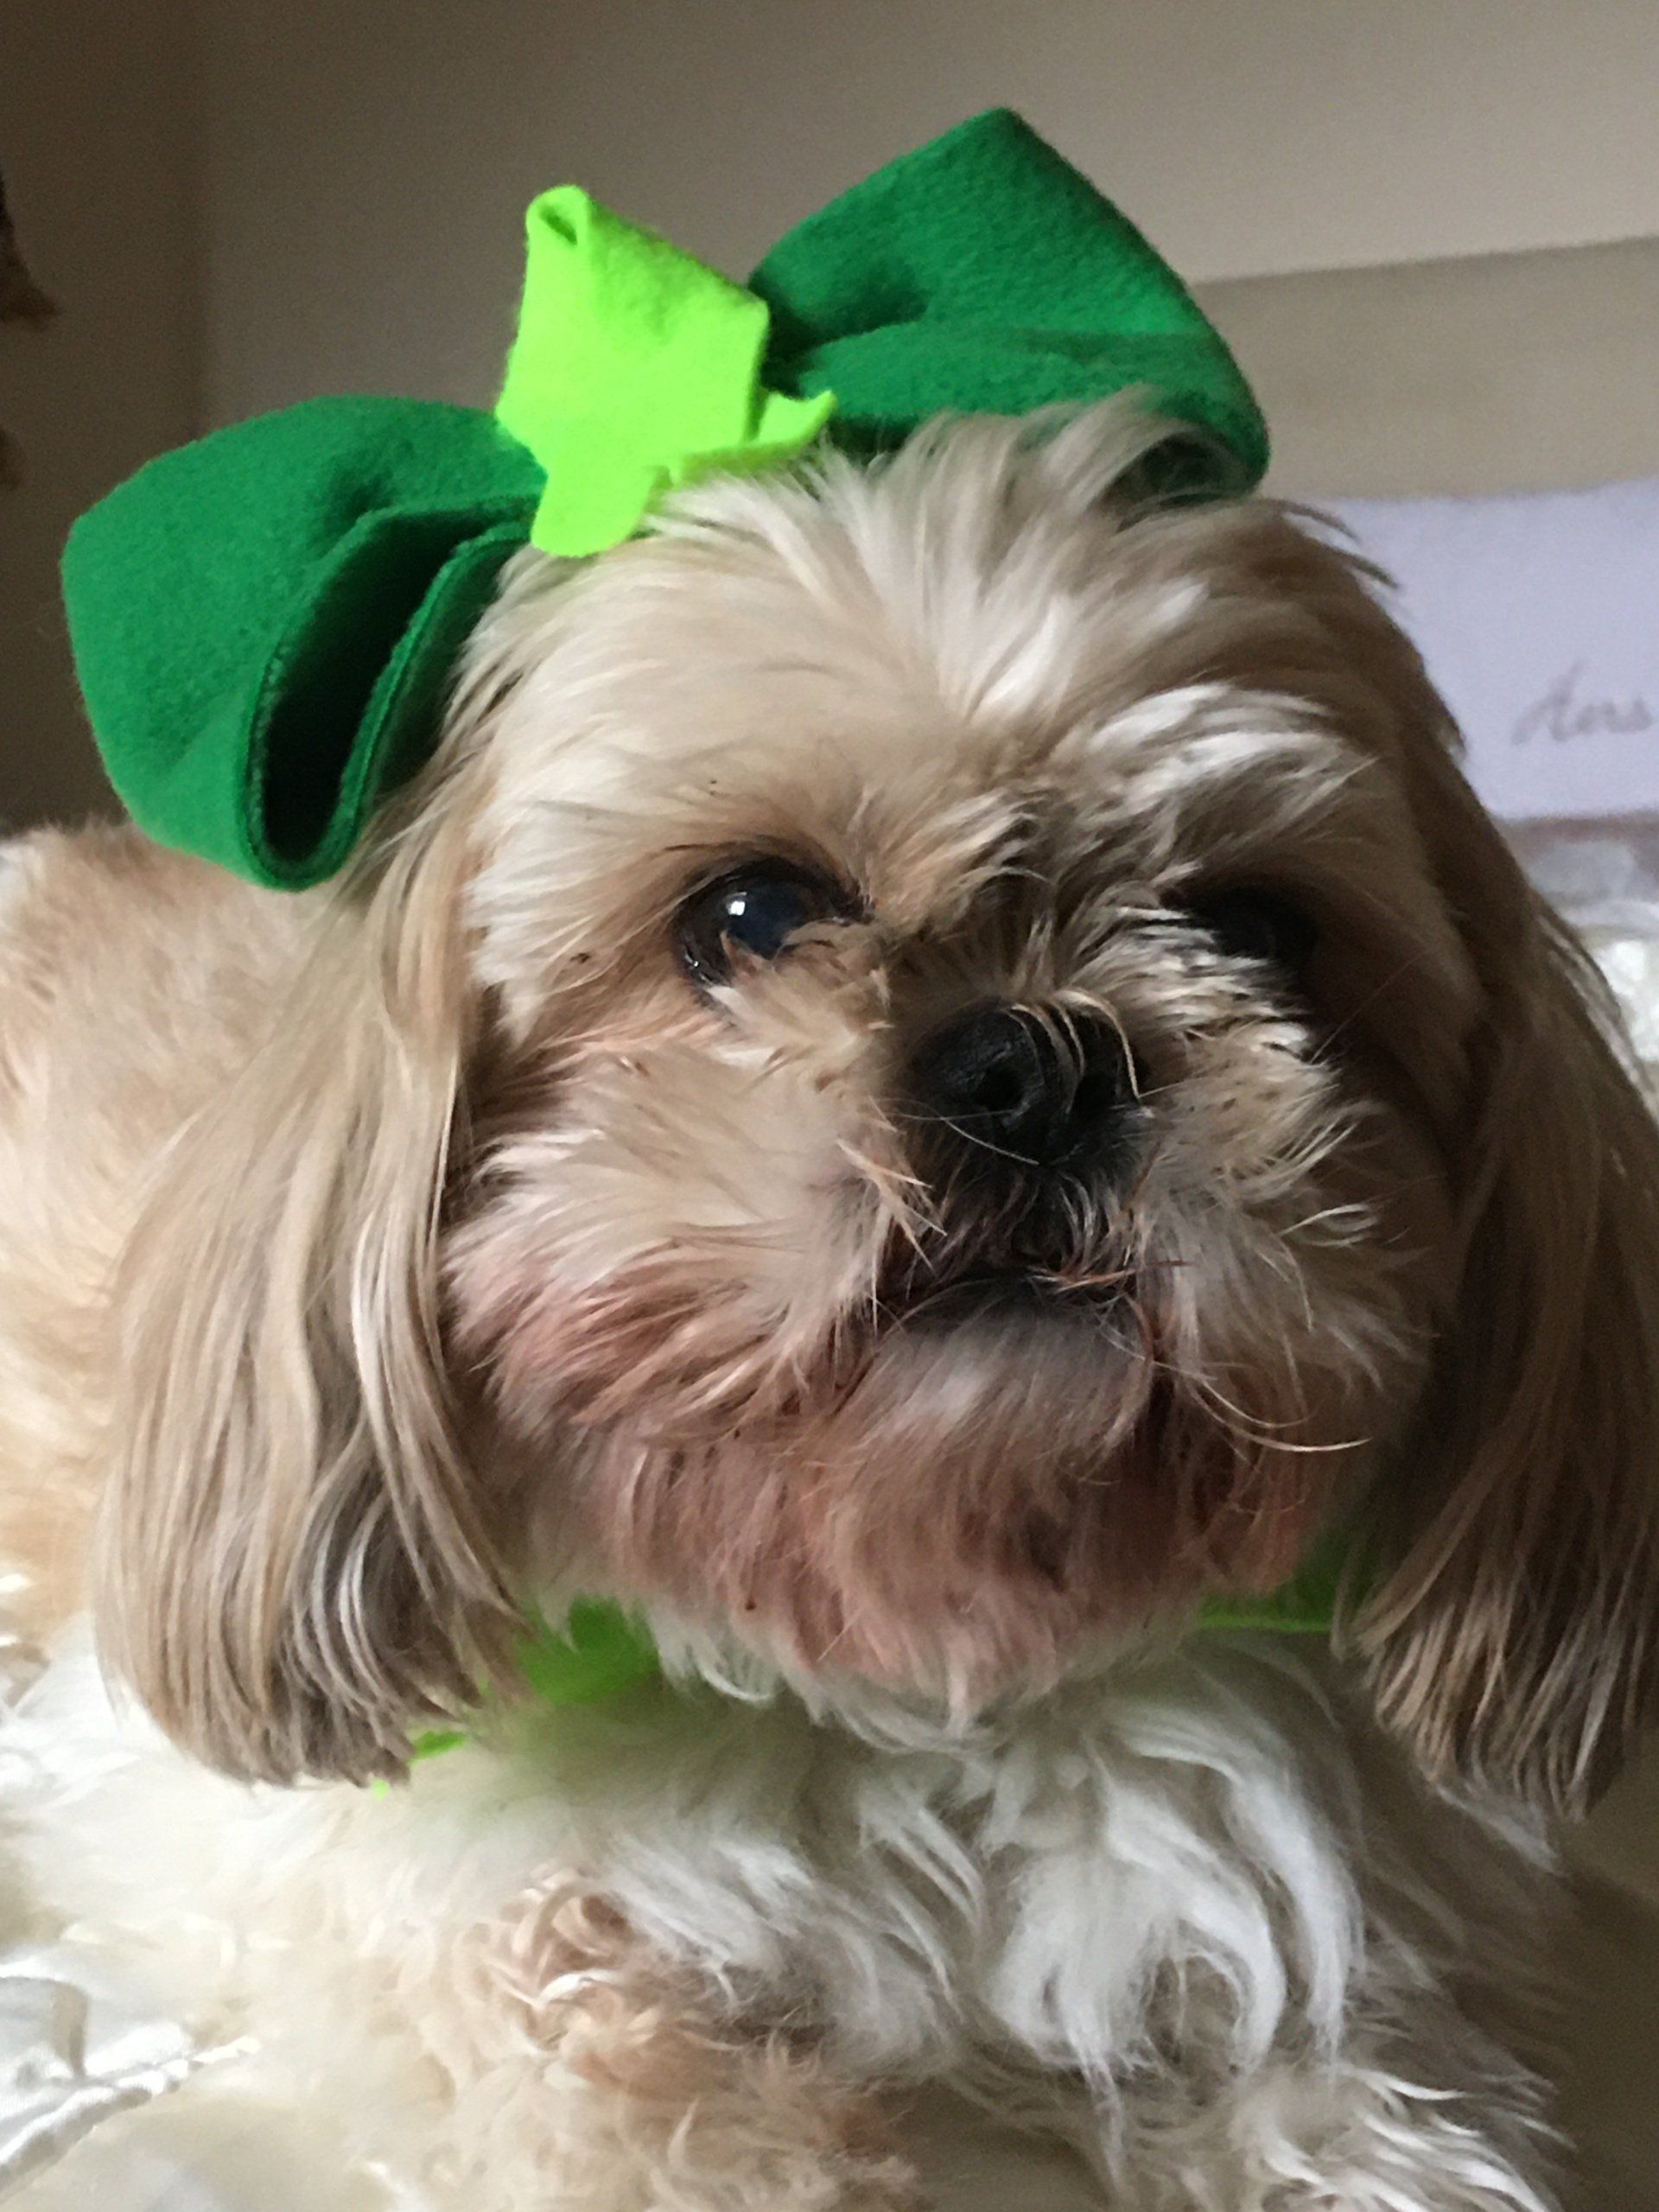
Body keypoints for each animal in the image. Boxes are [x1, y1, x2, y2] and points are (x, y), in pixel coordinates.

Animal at [1, 398, 1656, 2210]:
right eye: (749, 914)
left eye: (1253, 925)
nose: (1033, 1061)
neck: (908, 1679)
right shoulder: (299, 1860)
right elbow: (601, 2052)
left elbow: (1362, 2101)